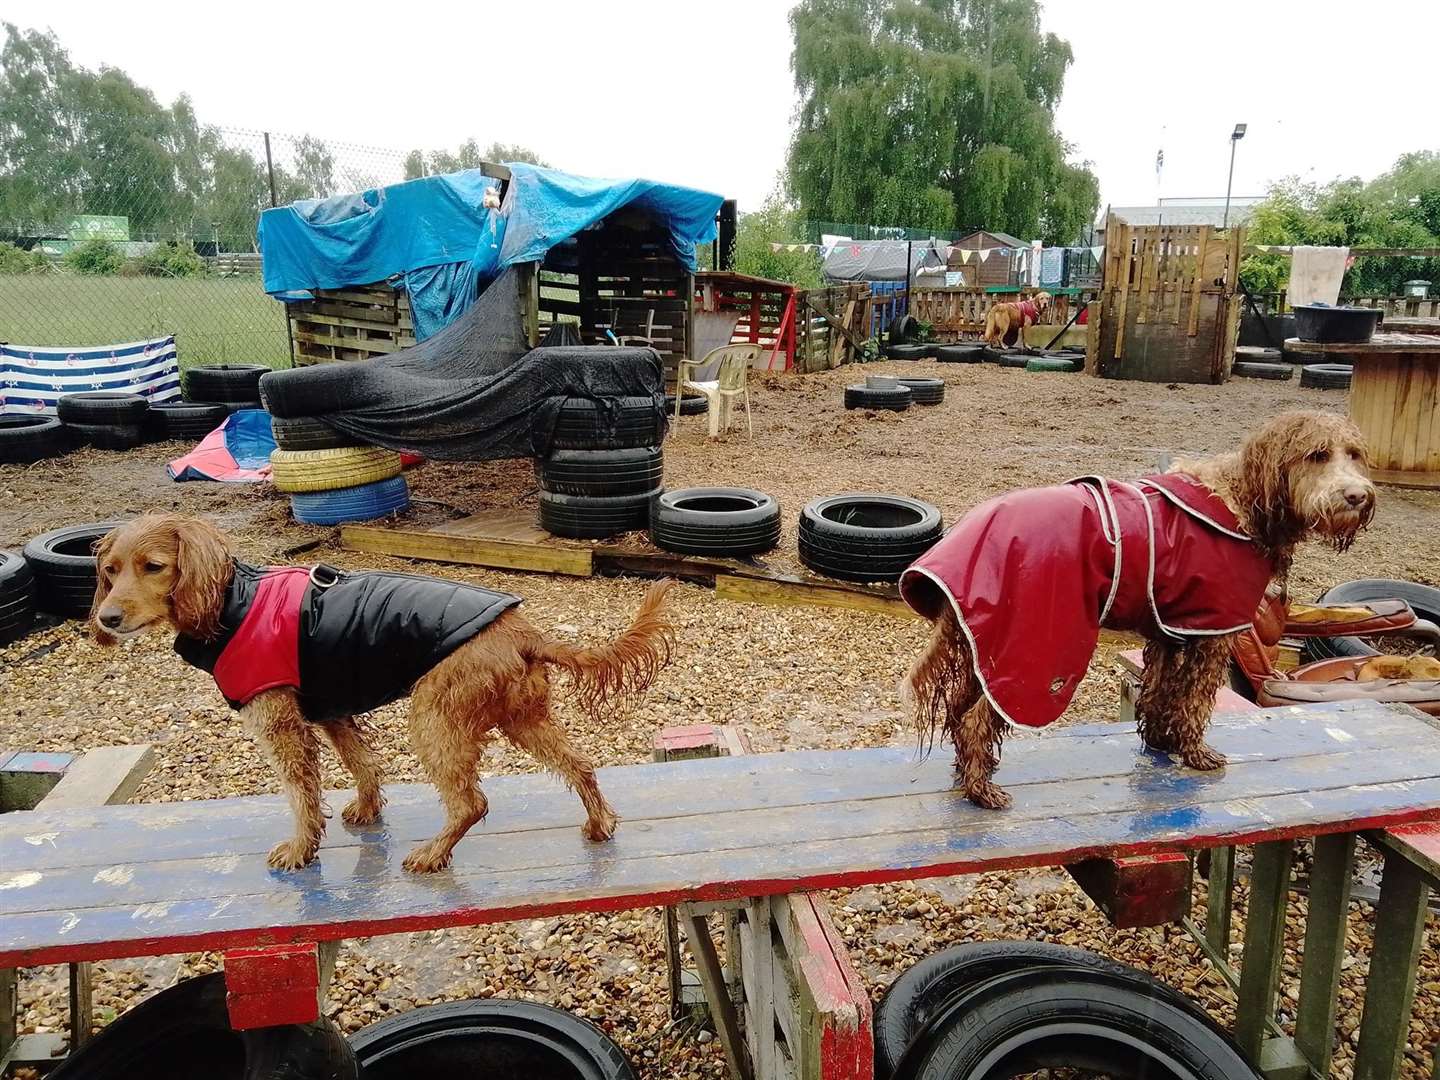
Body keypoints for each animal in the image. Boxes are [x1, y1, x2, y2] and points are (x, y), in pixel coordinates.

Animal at [90, 512, 673, 875]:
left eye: (154, 567)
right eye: (109, 571)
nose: (107, 619)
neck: (232, 601)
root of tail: (523, 631)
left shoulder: (281, 725)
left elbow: (302, 796)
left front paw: (300, 849)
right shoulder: (332, 710)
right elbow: (363, 764)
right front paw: (367, 810)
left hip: (434, 716)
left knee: (472, 802)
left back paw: (432, 854)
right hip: (522, 718)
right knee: (580, 765)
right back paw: (598, 823)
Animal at [898, 411, 1370, 812]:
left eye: (1355, 453)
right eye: (1317, 454)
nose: (1358, 496)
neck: (1240, 500)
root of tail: (971, 530)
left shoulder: (1172, 632)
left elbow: (1162, 692)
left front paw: (1161, 743)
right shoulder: (1213, 634)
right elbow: (1195, 700)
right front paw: (1195, 752)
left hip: (986, 644)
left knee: (960, 712)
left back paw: (968, 776)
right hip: (1030, 656)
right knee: (977, 719)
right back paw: (983, 791)